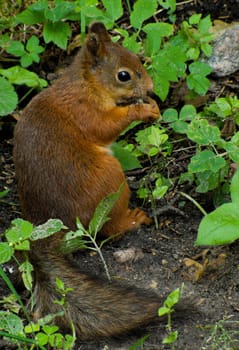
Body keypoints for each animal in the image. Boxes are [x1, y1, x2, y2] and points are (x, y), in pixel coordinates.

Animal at [13, 21, 164, 340]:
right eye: (124, 75)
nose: (151, 89)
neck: (87, 85)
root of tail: (51, 224)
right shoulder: (85, 111)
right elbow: (107, 125)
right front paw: (143, 109)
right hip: (109, 180)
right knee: (109, 229)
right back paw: (133, 219)